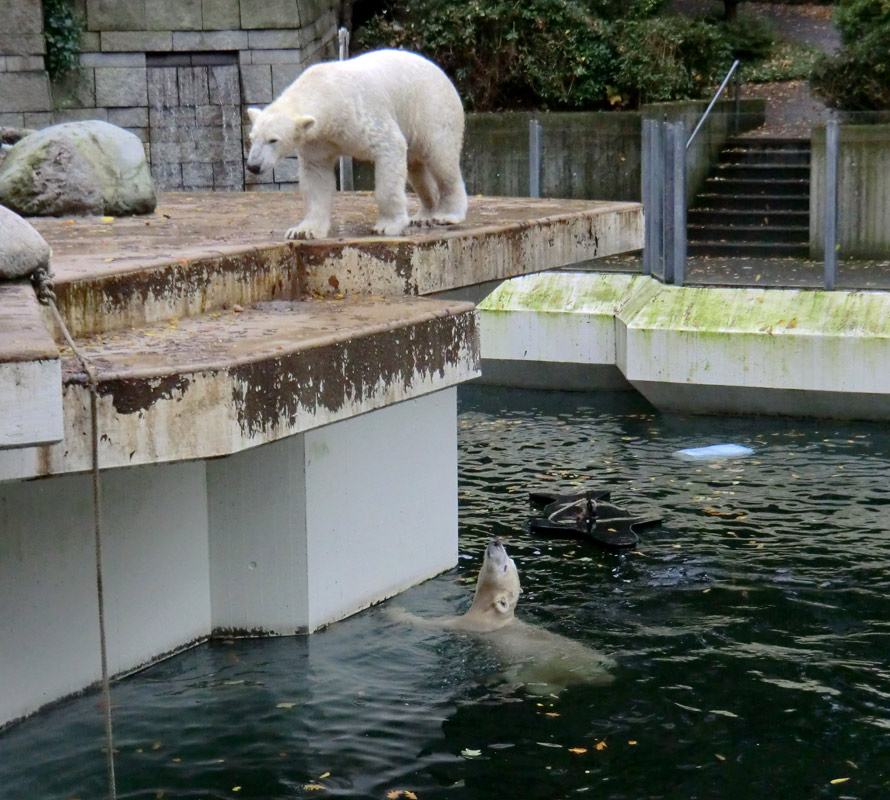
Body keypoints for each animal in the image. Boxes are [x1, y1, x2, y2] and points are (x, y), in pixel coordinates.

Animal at [243, 47, 464, 238]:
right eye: (252, 138)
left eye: (273, 140)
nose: (253, 165)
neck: (325, 91)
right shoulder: (316, 140)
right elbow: (316, 177)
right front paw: (304, 231)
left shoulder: (358, 114)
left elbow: (389, 146)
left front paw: (387, 225)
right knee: (416, 169)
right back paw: (424, 215)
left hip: (431, 110)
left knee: (441, 159)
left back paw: (447, 214)